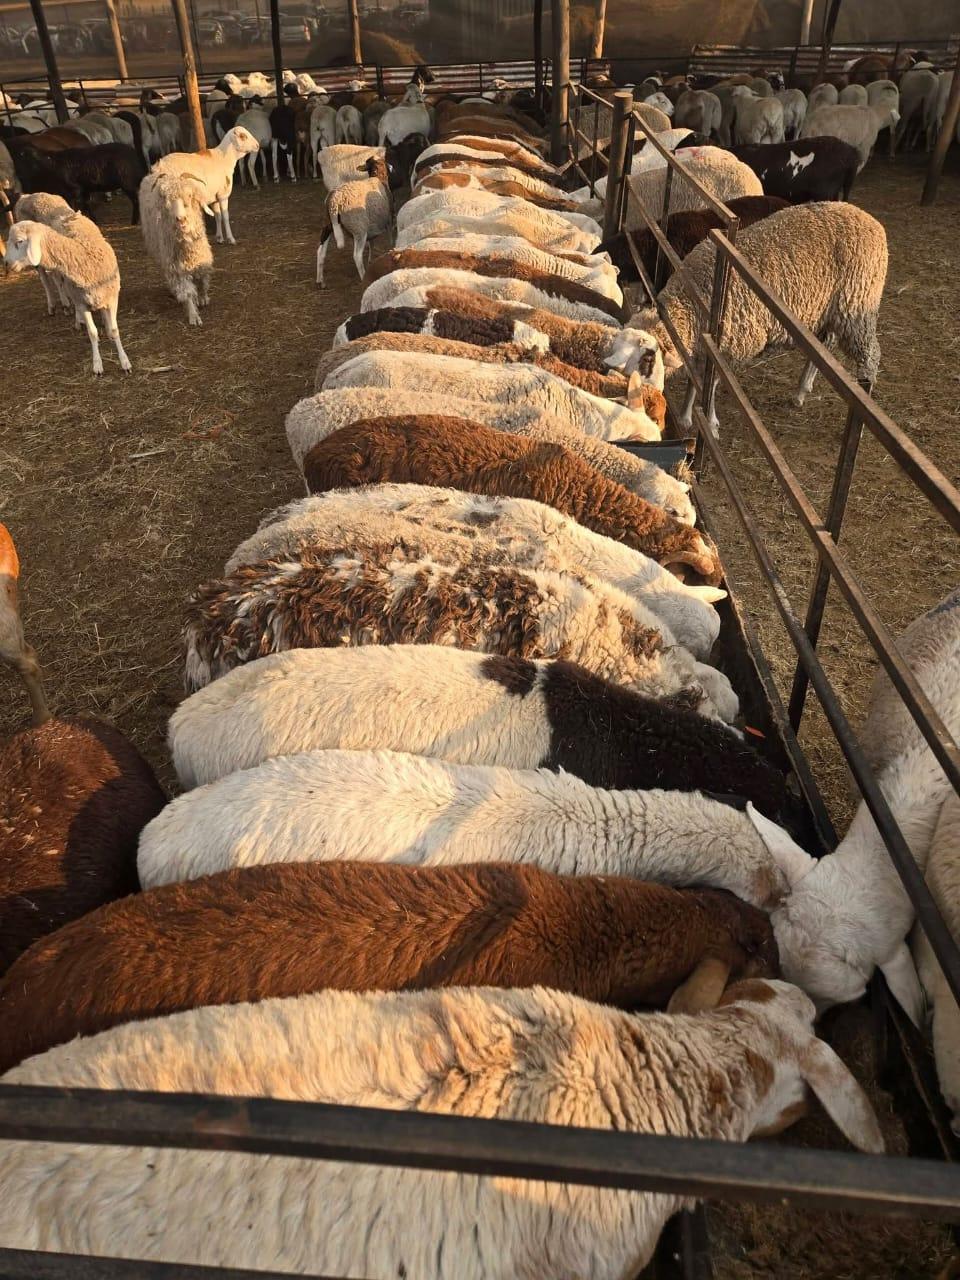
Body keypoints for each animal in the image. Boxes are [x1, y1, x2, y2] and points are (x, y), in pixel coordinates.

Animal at [4, 218, 131, 375]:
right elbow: (92, 333)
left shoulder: (112, 297)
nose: (6, 263)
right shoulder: (81, 302)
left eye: (20, 241)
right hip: (68, 285)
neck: (84, 258)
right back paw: (78, 320)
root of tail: (73, 216)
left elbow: (114, 330)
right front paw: (97, 364)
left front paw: (125, 361)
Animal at [139, 171, 213, 327]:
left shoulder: (202, 259)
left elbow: (203, 280)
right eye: (166, 200)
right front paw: (193, 315)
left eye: (190, 196)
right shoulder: (177, 268)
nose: (181, 219)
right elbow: (187, 292)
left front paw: (203, 297)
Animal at [316, 156, 391, 284]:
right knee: (357, 256)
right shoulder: (390, 221)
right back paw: (364, 276)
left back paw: (320, 280)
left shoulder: (372, 224)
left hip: (328, 225)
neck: (377, 176)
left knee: (320, 251)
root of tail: (335, 199)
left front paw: (371, 260)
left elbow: (372, 243)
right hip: (359, 229)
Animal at [633, 201, 887, 426]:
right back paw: (801, 391)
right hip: (827, 312)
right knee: (825, 345)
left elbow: (711, 384)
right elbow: (694, 381)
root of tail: (871, 220)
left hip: (857, 307)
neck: (694, 299)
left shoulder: (728, 349)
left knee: (871, 356)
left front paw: (710, 422)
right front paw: (686, 416)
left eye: (647, 360)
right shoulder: (702, 348)